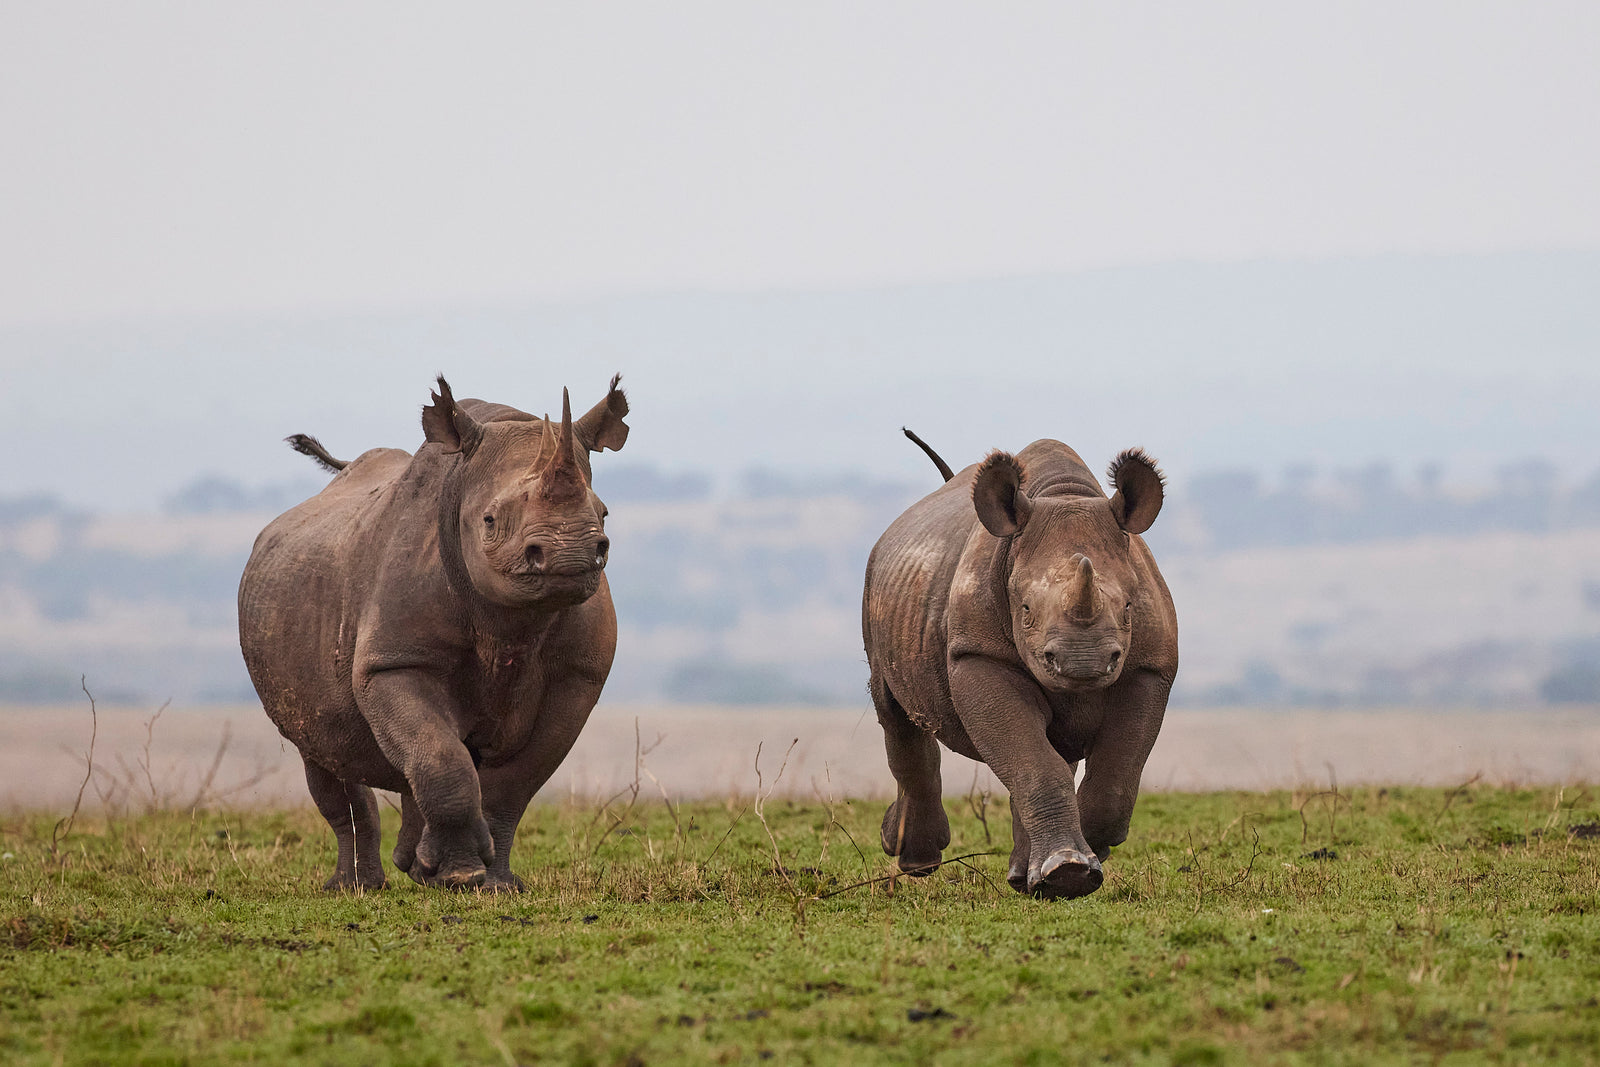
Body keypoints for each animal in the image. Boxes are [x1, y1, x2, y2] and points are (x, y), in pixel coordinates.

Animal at [238, 375, 629, 890]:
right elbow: (441, 757)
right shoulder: (393, 662)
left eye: (603, 515)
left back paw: (418, 870)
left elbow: (513, 784)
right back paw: (355, 887)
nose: (569, 555)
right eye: (489, 520)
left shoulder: (577, 677)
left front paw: (493, 884)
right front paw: (462, 876)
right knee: (323, 757)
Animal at [862, 430, 1177, 899]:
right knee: (895, 714)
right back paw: (916, 861)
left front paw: (1075, 863)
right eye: (1025, 610)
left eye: (1127, 608)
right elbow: (1032, 761)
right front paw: (1069, 871)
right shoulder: (977, 654)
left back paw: (1020, 873)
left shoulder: (1149, 667)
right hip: (877, 590)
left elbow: (1113, 780)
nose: (1083, 663)